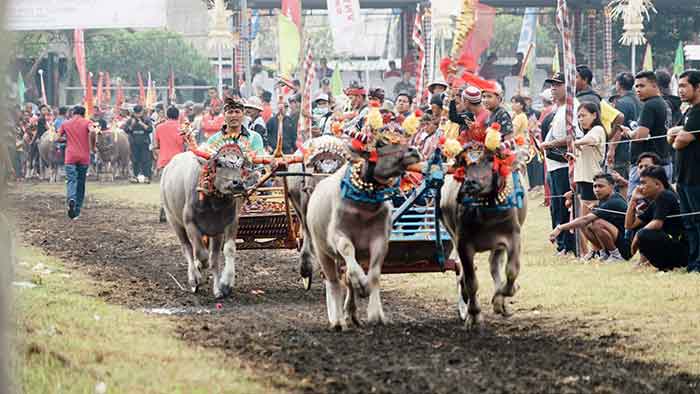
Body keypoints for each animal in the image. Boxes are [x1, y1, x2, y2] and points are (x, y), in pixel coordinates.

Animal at [161, 143, 260, 298]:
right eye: (219, 164)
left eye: (240, 165)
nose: (238, 183)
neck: (213, 203)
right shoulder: (190, 223)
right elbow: (201, 254)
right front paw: (199, 269)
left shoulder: (228, 224)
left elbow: (226, 252)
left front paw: (223, 285)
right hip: (173, 220)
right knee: (187, 247)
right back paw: (194, 277)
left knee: (211, 255)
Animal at [306, 130, 422, 330]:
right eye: (381, 143)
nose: (414, 150)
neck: (363, 207)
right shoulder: (337, 236)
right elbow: (347, 252)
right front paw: (361, 281)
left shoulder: (379, 240)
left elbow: (374, 275)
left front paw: (375, 312)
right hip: (321, 250)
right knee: (333, 281)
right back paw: (337, 320)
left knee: (345, 280)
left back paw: (351, 314)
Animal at [440, 142, 528, 330]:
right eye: (463, 162)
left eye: (489, 159)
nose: (470, 183)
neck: (487, 214)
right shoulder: (463, 244)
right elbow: (471, 281)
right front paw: (474, 315)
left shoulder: (513, 236)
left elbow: (512, 271)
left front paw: (501, 297)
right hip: (452, 234)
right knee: (464, 272)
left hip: (498, 246)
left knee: (494, 265)